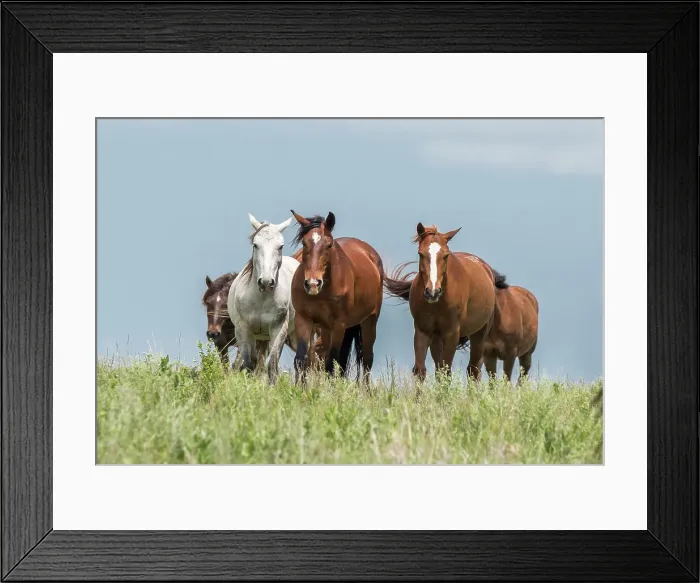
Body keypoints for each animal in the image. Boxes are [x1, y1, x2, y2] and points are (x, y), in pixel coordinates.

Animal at [227, 213, 299, 383]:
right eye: (255, 245)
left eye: (280, 246)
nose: (266, 282)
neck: (261, 300)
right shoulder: (243, 330)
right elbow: (248, 365)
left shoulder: (279, 330)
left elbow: (272, 366)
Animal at [289, 210, 383, 383]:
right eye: (304, 243)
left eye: (329, 245)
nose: (313, 284)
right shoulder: (303, 319)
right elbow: (301, 360)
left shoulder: (339, 325)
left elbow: (332, 362)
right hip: (325, 329)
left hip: (369, 320)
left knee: (367, 359)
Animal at [383, 223, 498, 380]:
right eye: (420, 253)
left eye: (446, 255)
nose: (433, 292)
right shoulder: (423, 330)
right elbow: (421, 370)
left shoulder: (452, 334)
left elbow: (446, 371)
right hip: (437, 339)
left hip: (480, 333)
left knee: (473, 370)